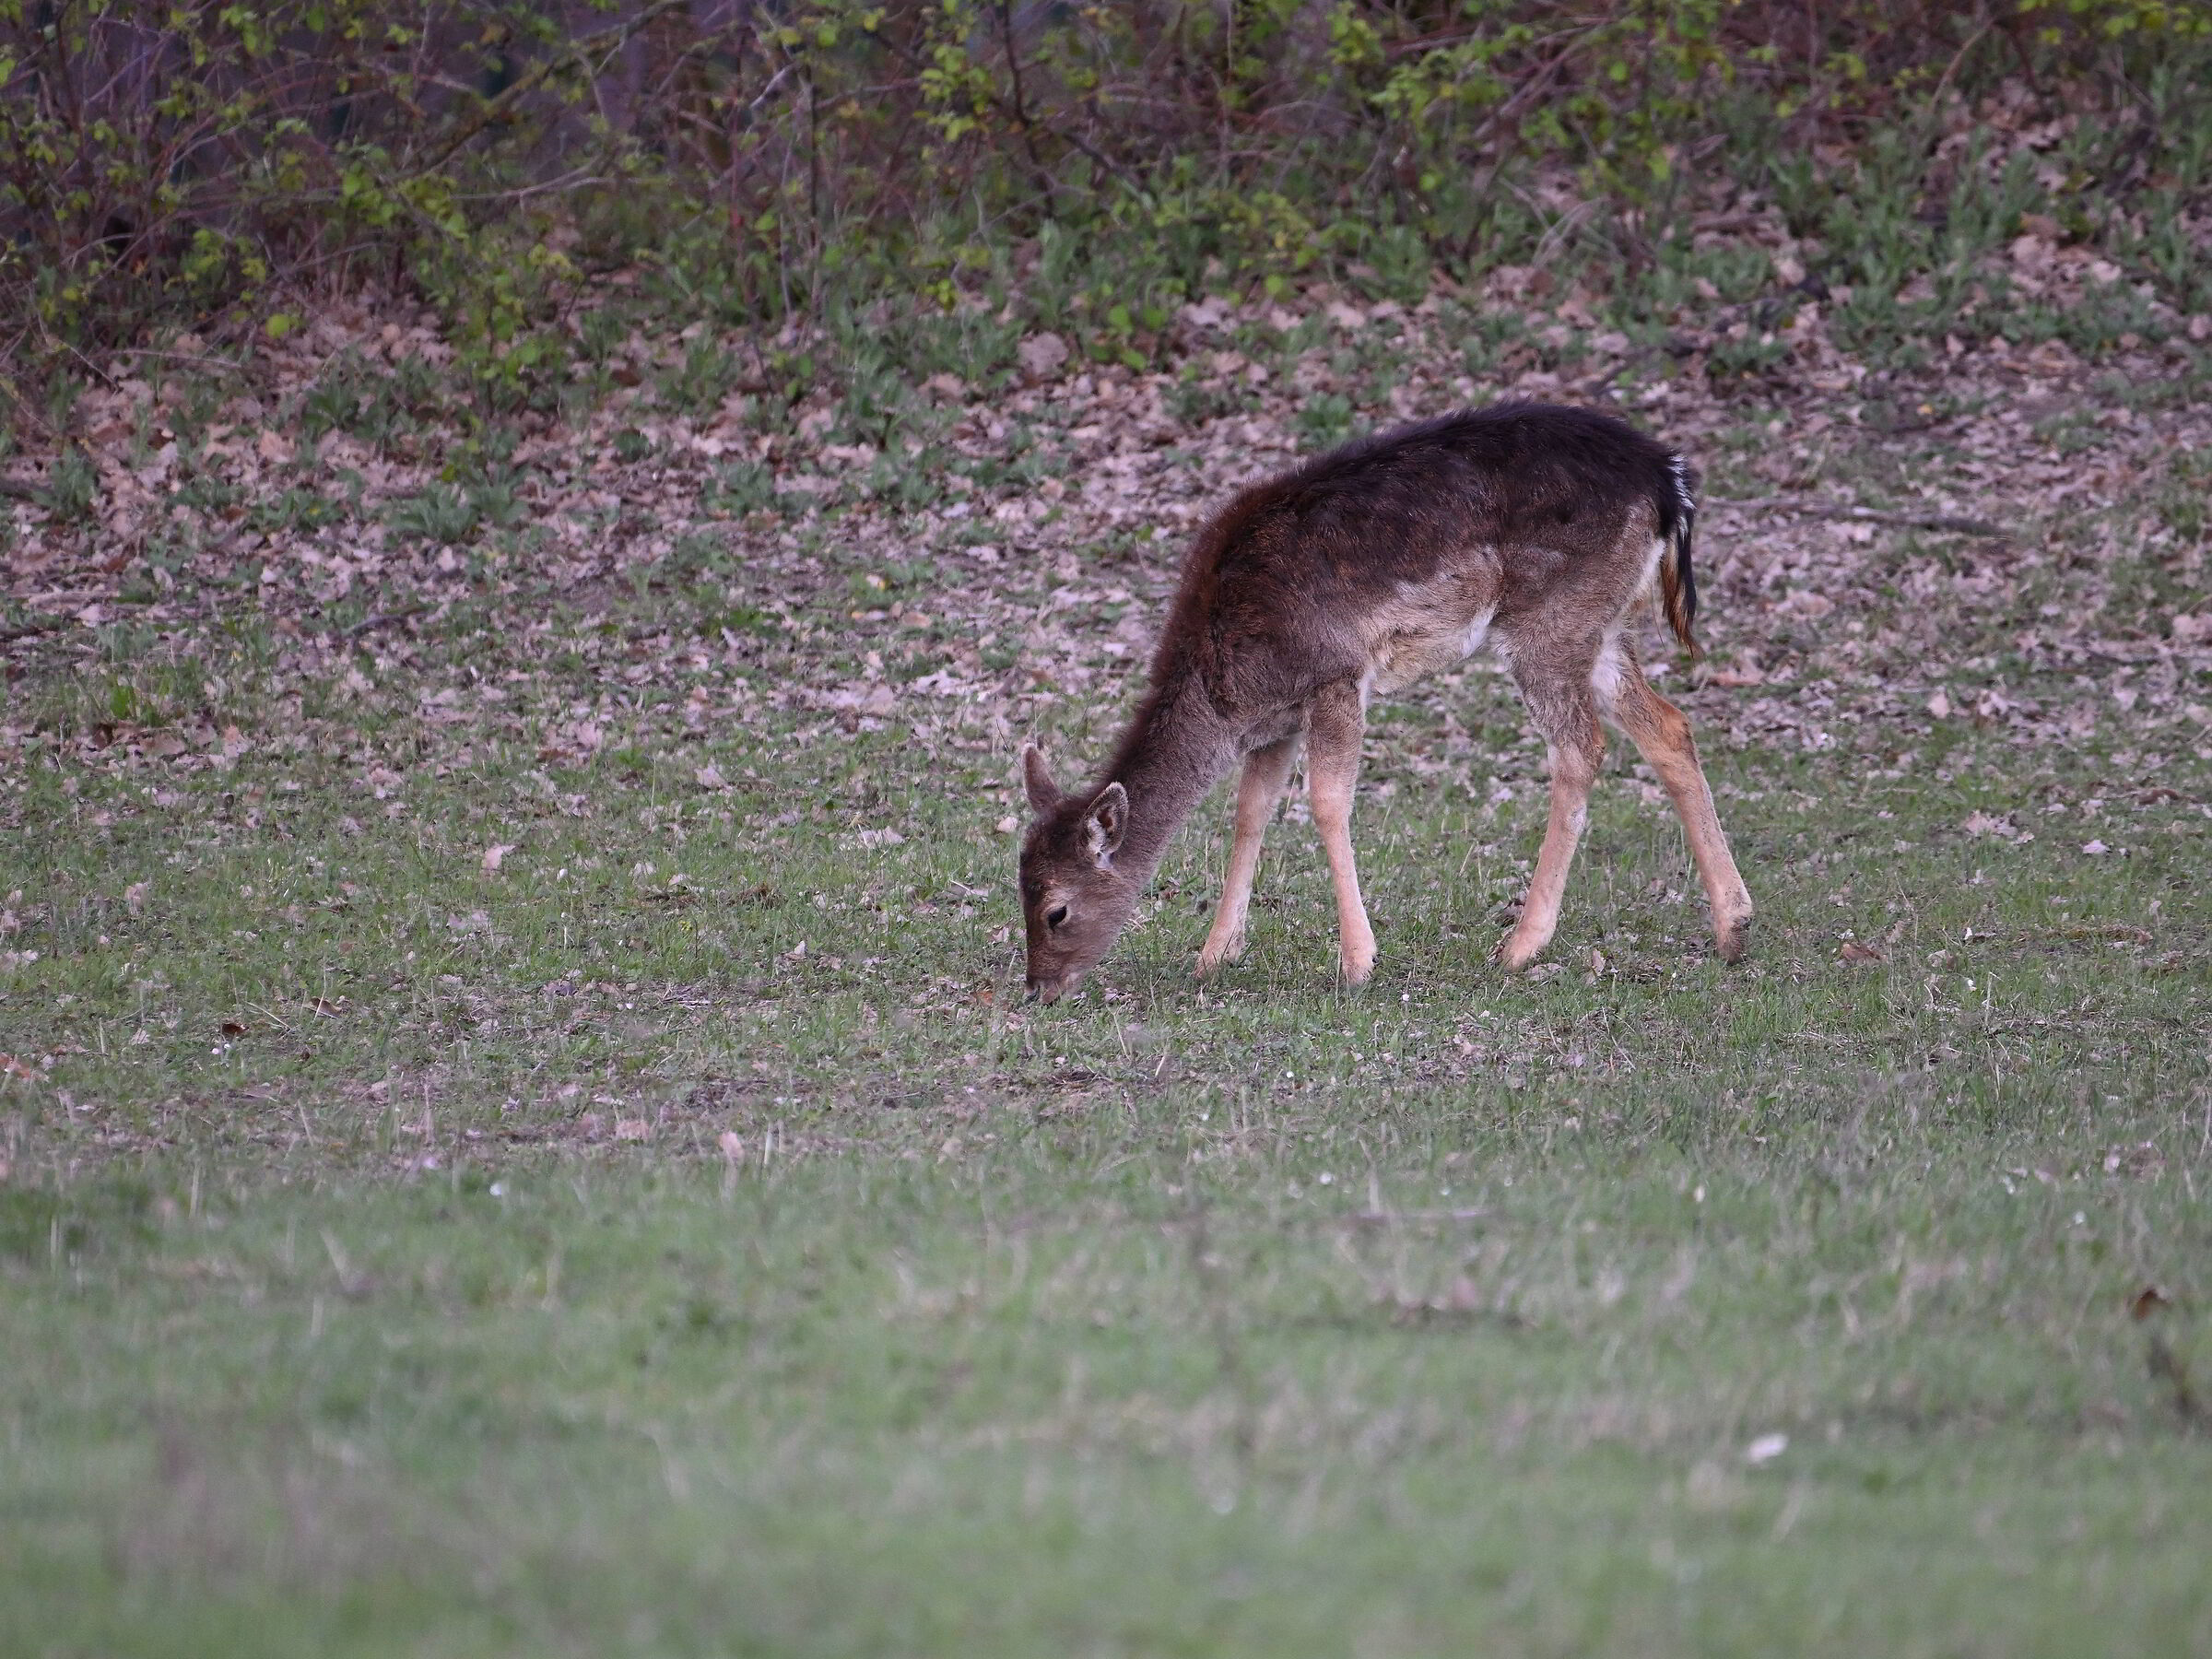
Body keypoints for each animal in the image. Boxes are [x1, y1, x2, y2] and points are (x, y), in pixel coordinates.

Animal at [1016, 400, 1753, 1005]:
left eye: (1056, 910)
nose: (1039, 989)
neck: (1224, 692)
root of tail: (1669, 481)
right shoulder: (1278, 720)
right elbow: (1251, 811)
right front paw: (1214, 956)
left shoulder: (1335, 677)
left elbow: (1326, 801)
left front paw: (1357, 963)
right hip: (1599, 624)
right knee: (1668, 724)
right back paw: (1734, 927)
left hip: (1550, 618)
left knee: (1581, 747)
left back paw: (1520, 946)